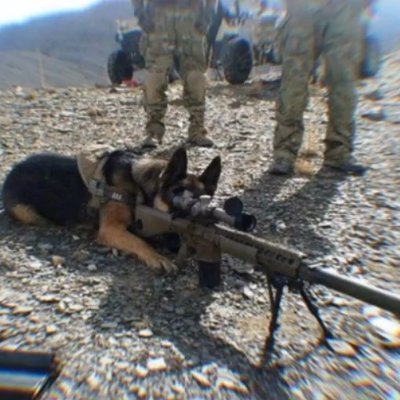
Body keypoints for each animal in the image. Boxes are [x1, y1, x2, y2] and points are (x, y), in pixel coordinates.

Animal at [1, 148, 220, 274]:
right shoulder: (111, 229)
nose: (179, 247)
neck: (138, 187)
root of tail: (12, 171)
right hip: (27, 212)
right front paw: (157, 257)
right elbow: (138, 241)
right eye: (174, 211)